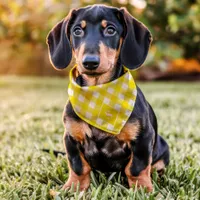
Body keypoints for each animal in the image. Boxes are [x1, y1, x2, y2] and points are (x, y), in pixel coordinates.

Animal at [46, 5, 169, 192]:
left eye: (110, 30)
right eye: (77, 31)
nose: (90, 62)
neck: (98, 93)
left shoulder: (143, 138)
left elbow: (136, 167)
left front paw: (142, 189)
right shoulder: (71, 138)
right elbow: (78, 166)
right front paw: (74, 187)